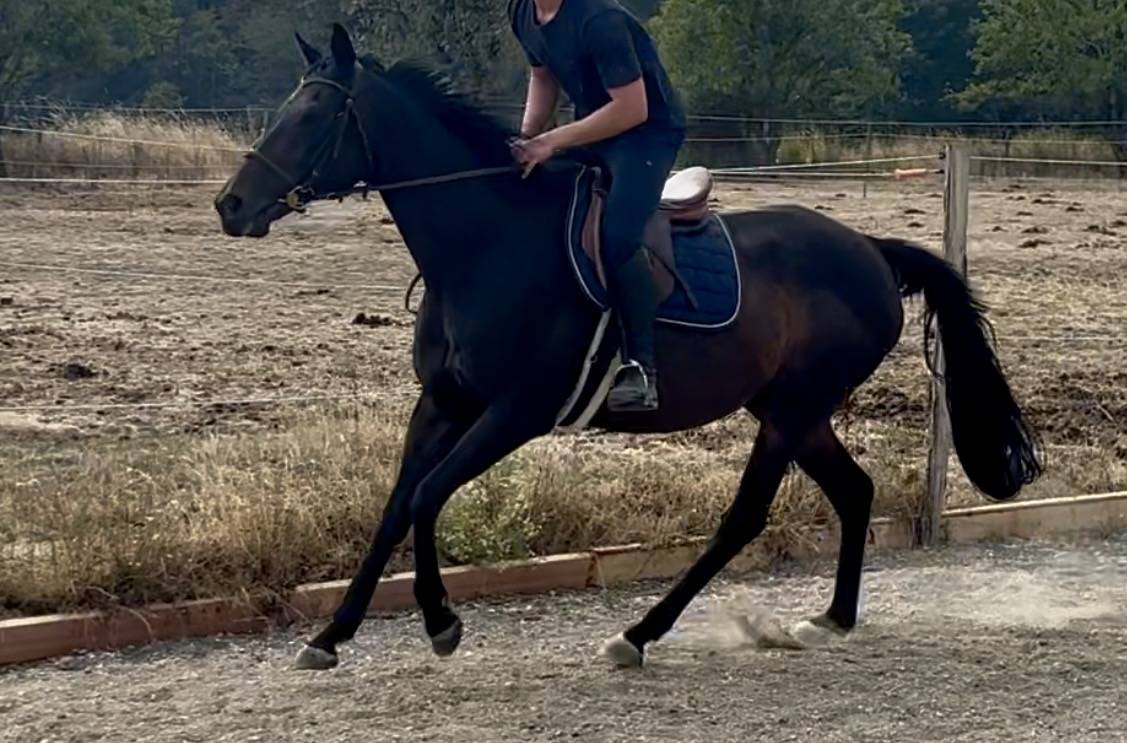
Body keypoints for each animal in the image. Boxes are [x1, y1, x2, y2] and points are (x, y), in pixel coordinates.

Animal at [214, 24, 1041, 671]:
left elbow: (425, 496)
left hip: (792, 409)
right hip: (790, 407)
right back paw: (829, 618)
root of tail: (869, 250)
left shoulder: (515, 411)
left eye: (316, 112)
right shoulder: (443, 403)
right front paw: (330, 635)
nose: (231, 204)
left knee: (744, 517)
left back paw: (638, 634)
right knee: (854, 490)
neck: (484, 247)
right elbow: (393, 508)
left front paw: (441, 621)